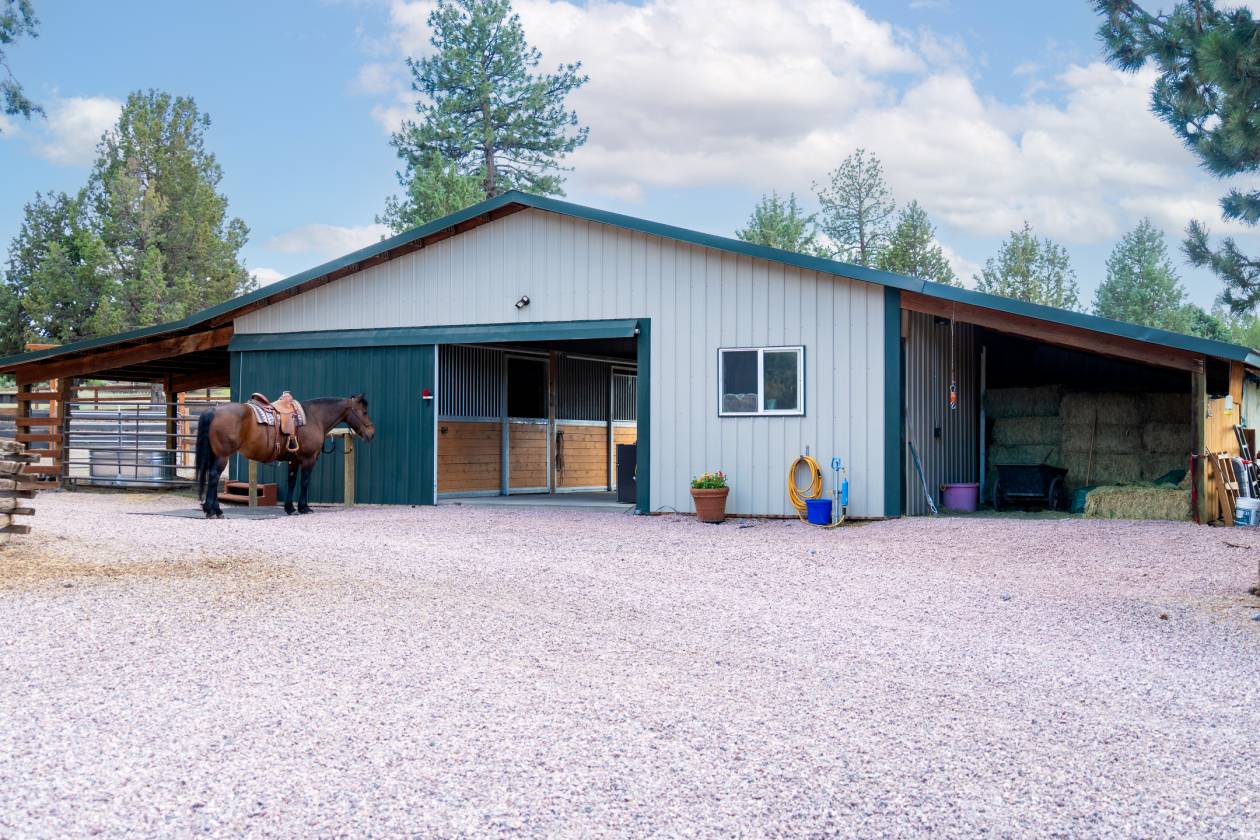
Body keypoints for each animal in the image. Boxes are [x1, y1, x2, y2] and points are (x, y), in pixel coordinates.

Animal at [195, 394, 375, 518]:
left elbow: (292, 482)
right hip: (223, 456)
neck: (314, 417)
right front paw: (303, 508)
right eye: (364, 412)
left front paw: (290, 508)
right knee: (213, 477)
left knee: (212, 478)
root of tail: (214, 409)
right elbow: (304, 482)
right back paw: (213, 510)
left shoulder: (293, 460)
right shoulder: (309, 459)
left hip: (215, 455)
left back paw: (213, 509)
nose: (371, 433)